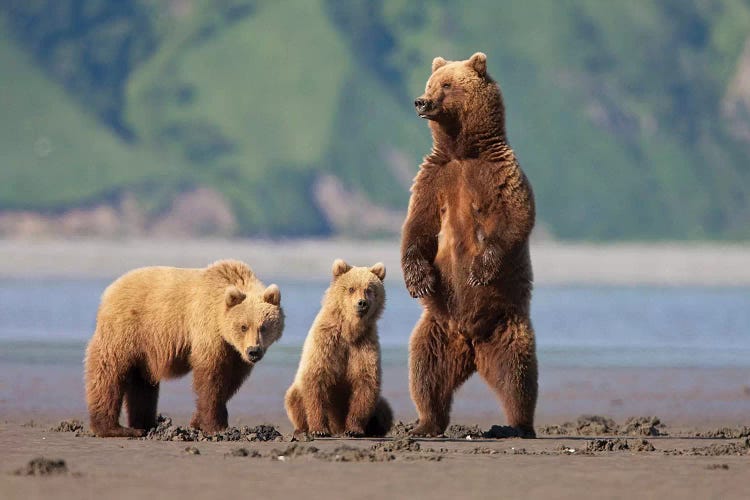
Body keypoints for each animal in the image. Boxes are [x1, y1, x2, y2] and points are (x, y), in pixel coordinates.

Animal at [85, 260, 284, 436]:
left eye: (263, 327)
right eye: (243, 326)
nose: (253, 351)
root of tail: (109, 290)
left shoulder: (234, 353)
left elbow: (230, 381)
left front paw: (198, 421)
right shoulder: (208, 330)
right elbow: (211, 378)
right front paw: (215, 426)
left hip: (144, 348)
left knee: (142, 383)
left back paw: (145, 424)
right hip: (126, 329)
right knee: (109, 372)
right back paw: (114, 428)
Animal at [284, 260, 394, 436]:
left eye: (369, 289)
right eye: (351, 288)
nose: (362, 303)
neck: (349, 331)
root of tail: (337, 427)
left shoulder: (363, 345)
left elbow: (365, 382)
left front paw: (354, 429)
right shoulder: (327, 343)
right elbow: (316, 379)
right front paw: (319, 429)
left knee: (384, 408)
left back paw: (375, 429)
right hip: (296, 392)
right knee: (293, 398)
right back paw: (301, 429)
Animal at [406, 51, 540, 438]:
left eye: (447, 85)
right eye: (430, 83)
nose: (421, 101)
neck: (462, 151)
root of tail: (471, 345)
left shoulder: (499, 174)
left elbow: (515, 219)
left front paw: (480, 269)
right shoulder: (434, 177)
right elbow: (418, 227)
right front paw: (418, 280)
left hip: (506, 323)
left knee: (518, 375)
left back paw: (519, 424)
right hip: (437, 328)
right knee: (425, 372)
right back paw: (425, 423)